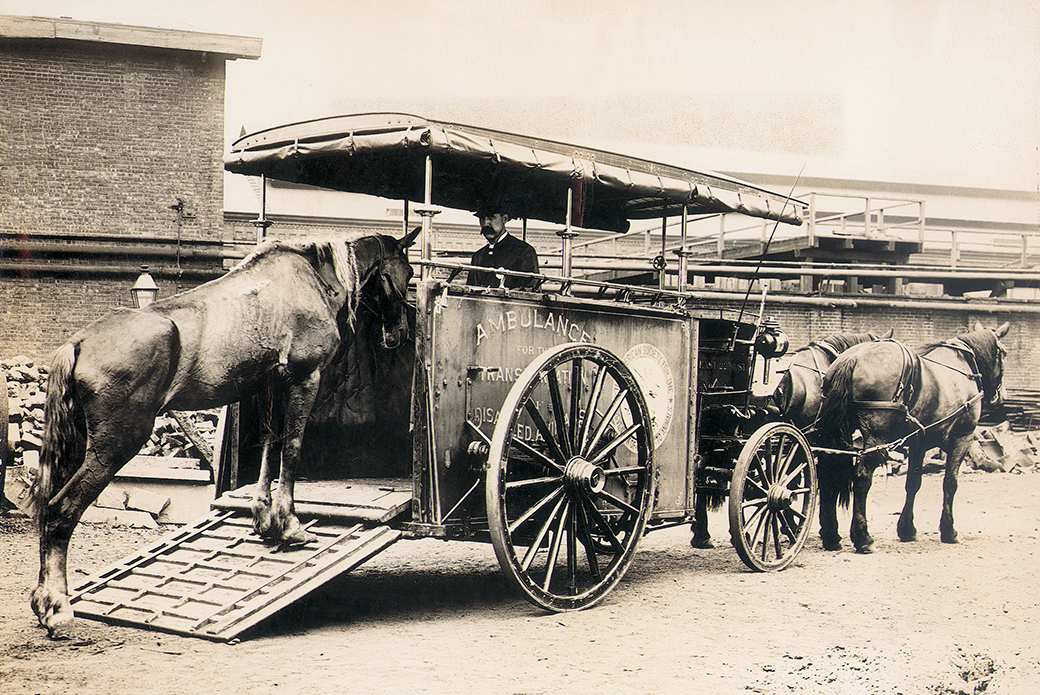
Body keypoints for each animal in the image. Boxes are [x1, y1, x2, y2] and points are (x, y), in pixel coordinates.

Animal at [30, 230, 416, 636]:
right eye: (405, 272)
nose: (400, 334)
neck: (310, 278)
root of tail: (78, 344)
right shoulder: (305, 377)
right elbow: (291, 447)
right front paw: (290, 525)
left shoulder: (270, 384)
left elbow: (270, 445)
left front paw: (264, 518)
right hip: (114, 446)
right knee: (60, 512)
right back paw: (57, 607)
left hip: (80, 446)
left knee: (47, 510)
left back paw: (43, 601)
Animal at [815, 320, 1010, 553]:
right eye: (1003, 353)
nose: (1002, 396)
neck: (962, 366)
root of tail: (852, 358)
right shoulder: (962, 438)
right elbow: (950, 482)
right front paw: (949, 530)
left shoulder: (919, 443)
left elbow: (913, 483)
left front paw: (907, 529)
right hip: (877, 439)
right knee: (862, 477)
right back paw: (863, 537)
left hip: (836, 434)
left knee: (827, 474)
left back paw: (831, 536)